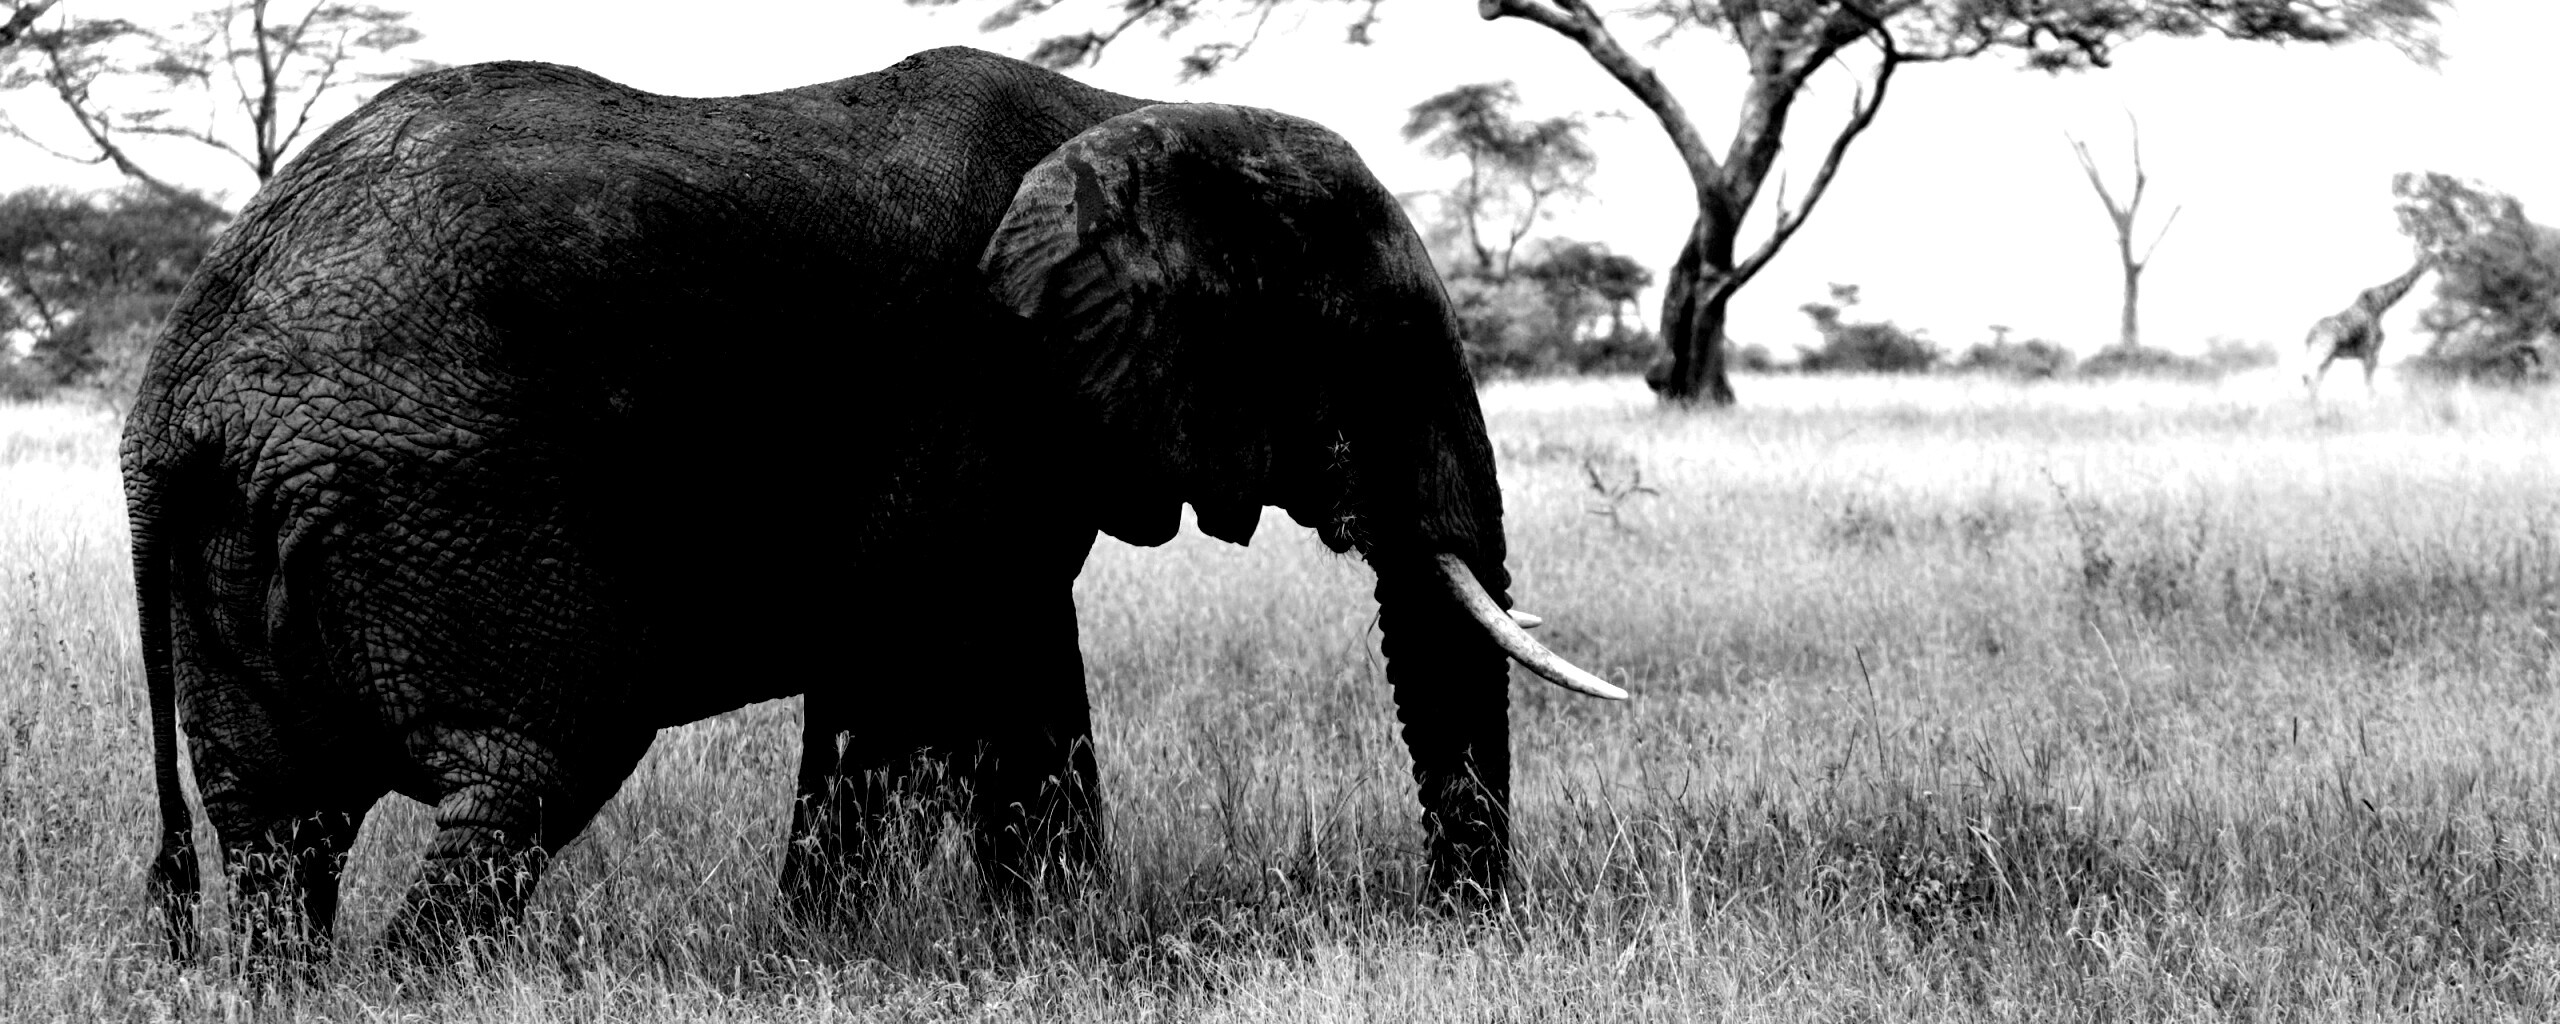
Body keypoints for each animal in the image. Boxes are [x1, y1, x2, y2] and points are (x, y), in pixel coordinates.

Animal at [122, 45, 1622, 959]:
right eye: (1371, 342)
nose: (1456, 924)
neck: (1128, 116)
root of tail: (180, 403)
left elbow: (909, 686)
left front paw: (877, 950)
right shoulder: (986, 402)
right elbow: (977, 671)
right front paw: (1037, 948)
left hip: (246, 543)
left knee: (277, 829)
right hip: (442, 499)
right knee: (524, 774)